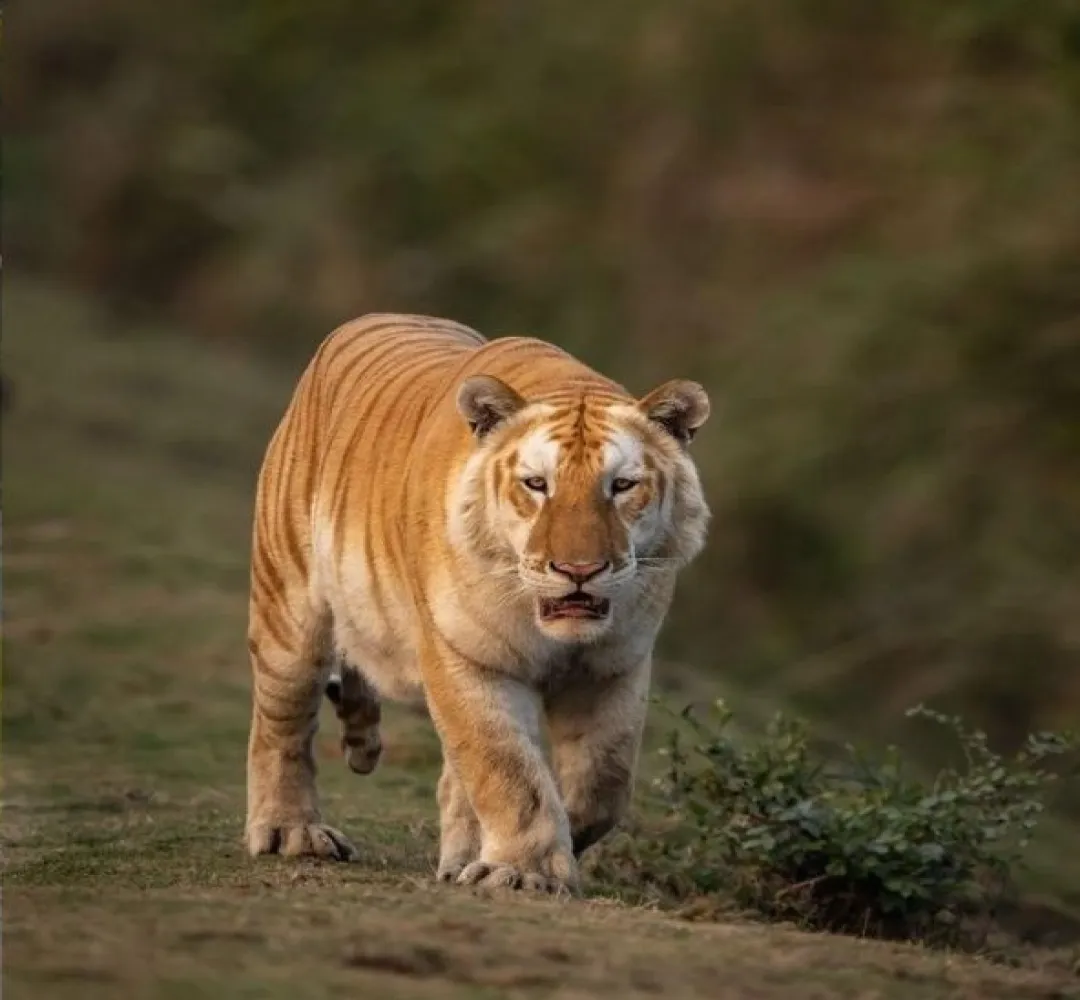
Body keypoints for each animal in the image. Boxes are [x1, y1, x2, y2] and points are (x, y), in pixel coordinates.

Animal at [248, 313, 712, 894]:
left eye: (622, 485)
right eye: (536, 485)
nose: (578, 570)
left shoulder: (615, 666)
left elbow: (603, 783)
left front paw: (524, 854)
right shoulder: (465, 656)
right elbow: (509, 771)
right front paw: (524, 871)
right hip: (288, 609)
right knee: (282, 723)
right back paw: (292, 832)